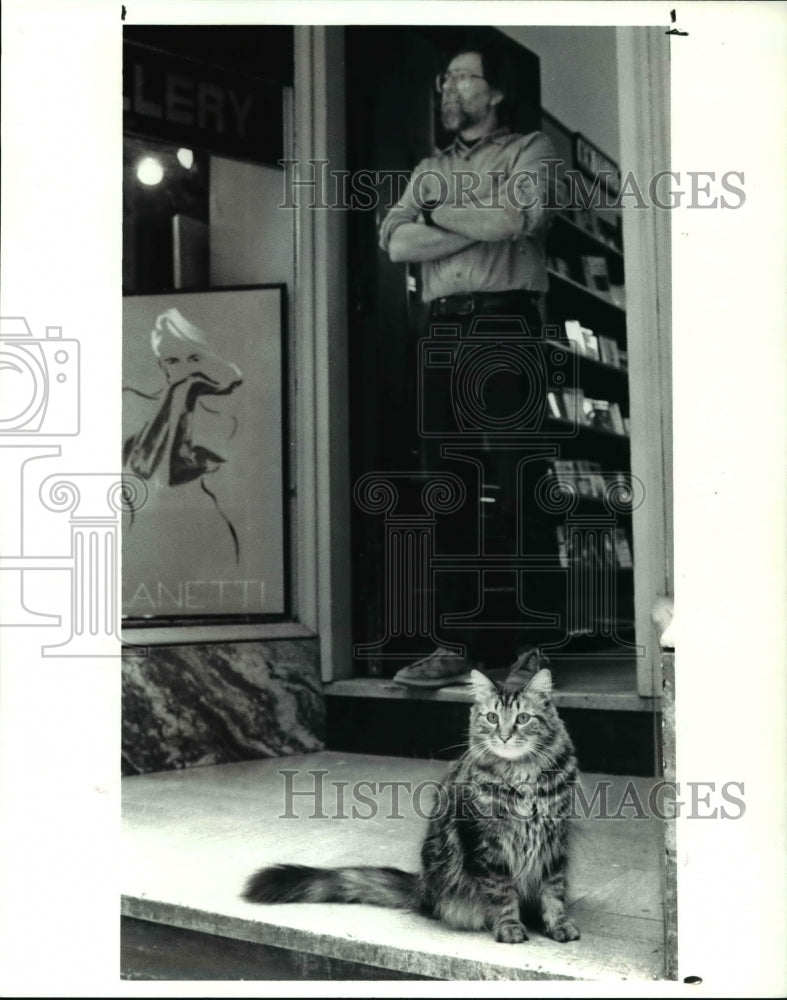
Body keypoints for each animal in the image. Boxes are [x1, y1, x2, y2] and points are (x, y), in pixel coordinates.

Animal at [243, 664, 580, 944]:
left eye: (523, 718)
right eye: (492, 718)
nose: (506, 736)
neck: (521, 777)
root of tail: (422, 888)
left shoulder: (554, 843)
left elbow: (552, 893)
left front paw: (559, 926)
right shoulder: (486, 845)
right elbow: (503, 895)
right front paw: (510, 928)